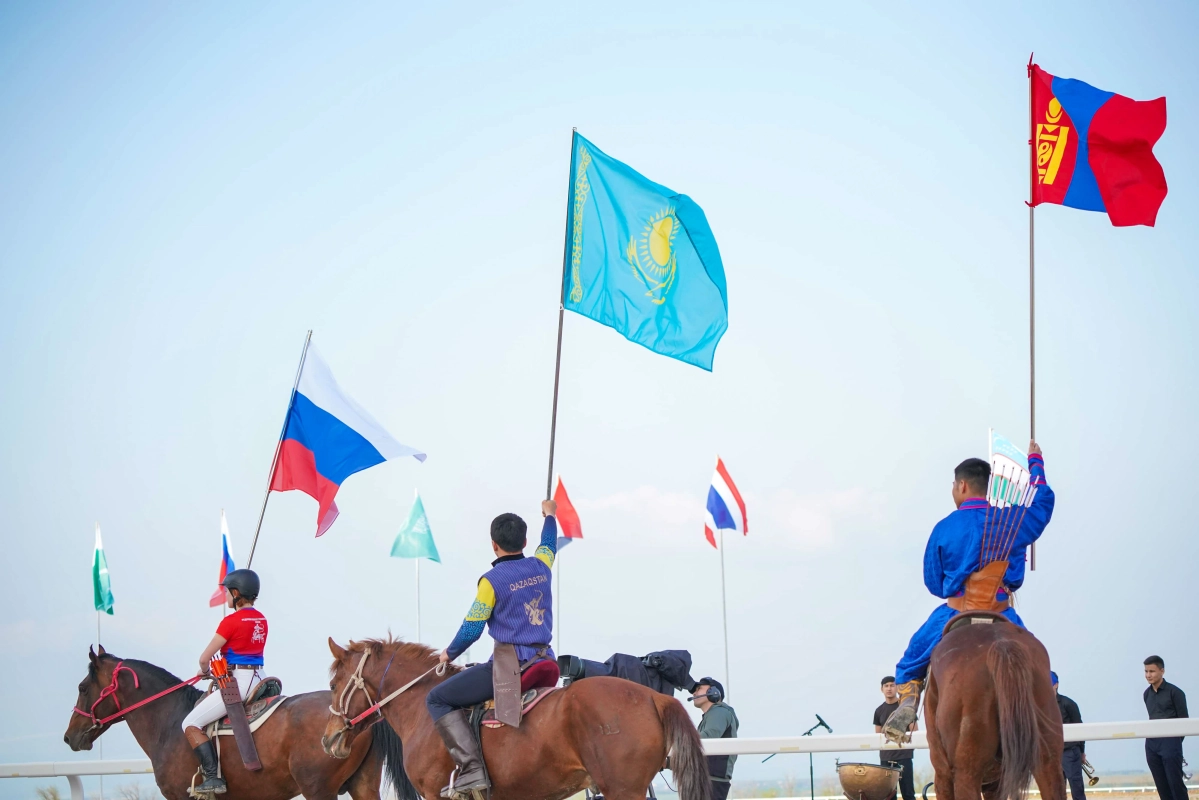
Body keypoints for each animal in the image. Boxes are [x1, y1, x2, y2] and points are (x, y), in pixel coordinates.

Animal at [318, 642, 709, 800]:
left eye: (334, 685)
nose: (328, 738)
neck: (420, 707)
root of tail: (654, 697)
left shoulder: (434, 794)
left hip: (623, 791)